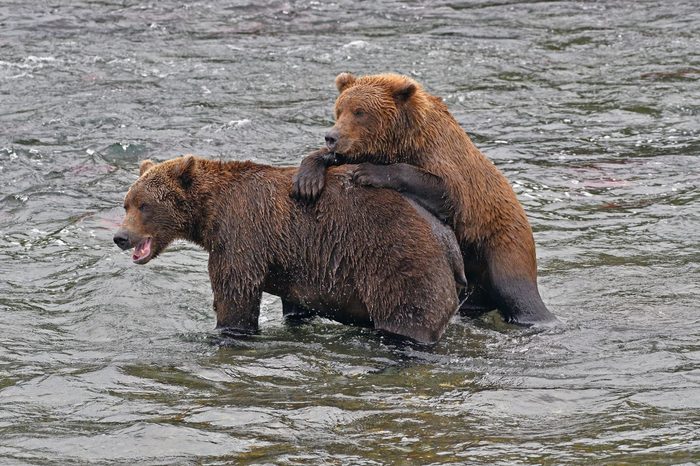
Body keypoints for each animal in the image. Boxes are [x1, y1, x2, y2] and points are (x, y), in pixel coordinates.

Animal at [292, 73, 556, 328]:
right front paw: (307, 180)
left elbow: (445, 189)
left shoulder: (441, 160)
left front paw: (367, 172)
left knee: (516, 291)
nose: (331, 137)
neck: (401, 140)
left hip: (500, 244)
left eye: (360, 112)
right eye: (339, 109)